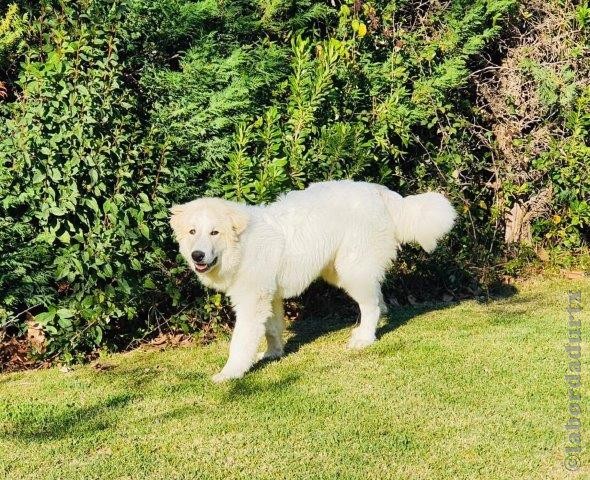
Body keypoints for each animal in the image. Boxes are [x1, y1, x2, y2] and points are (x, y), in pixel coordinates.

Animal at [171, 180, 458, 382]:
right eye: (193, 231)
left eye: (214, 232)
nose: (198, 255)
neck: (241, 245)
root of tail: (377, 191)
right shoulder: (270, 296)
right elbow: (272, 329)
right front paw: (273, 353)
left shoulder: (253, 301)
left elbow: (241, 341)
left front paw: (229, 373)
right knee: (378, 298)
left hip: (352, 268)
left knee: (371, 305)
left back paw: (364, 338)